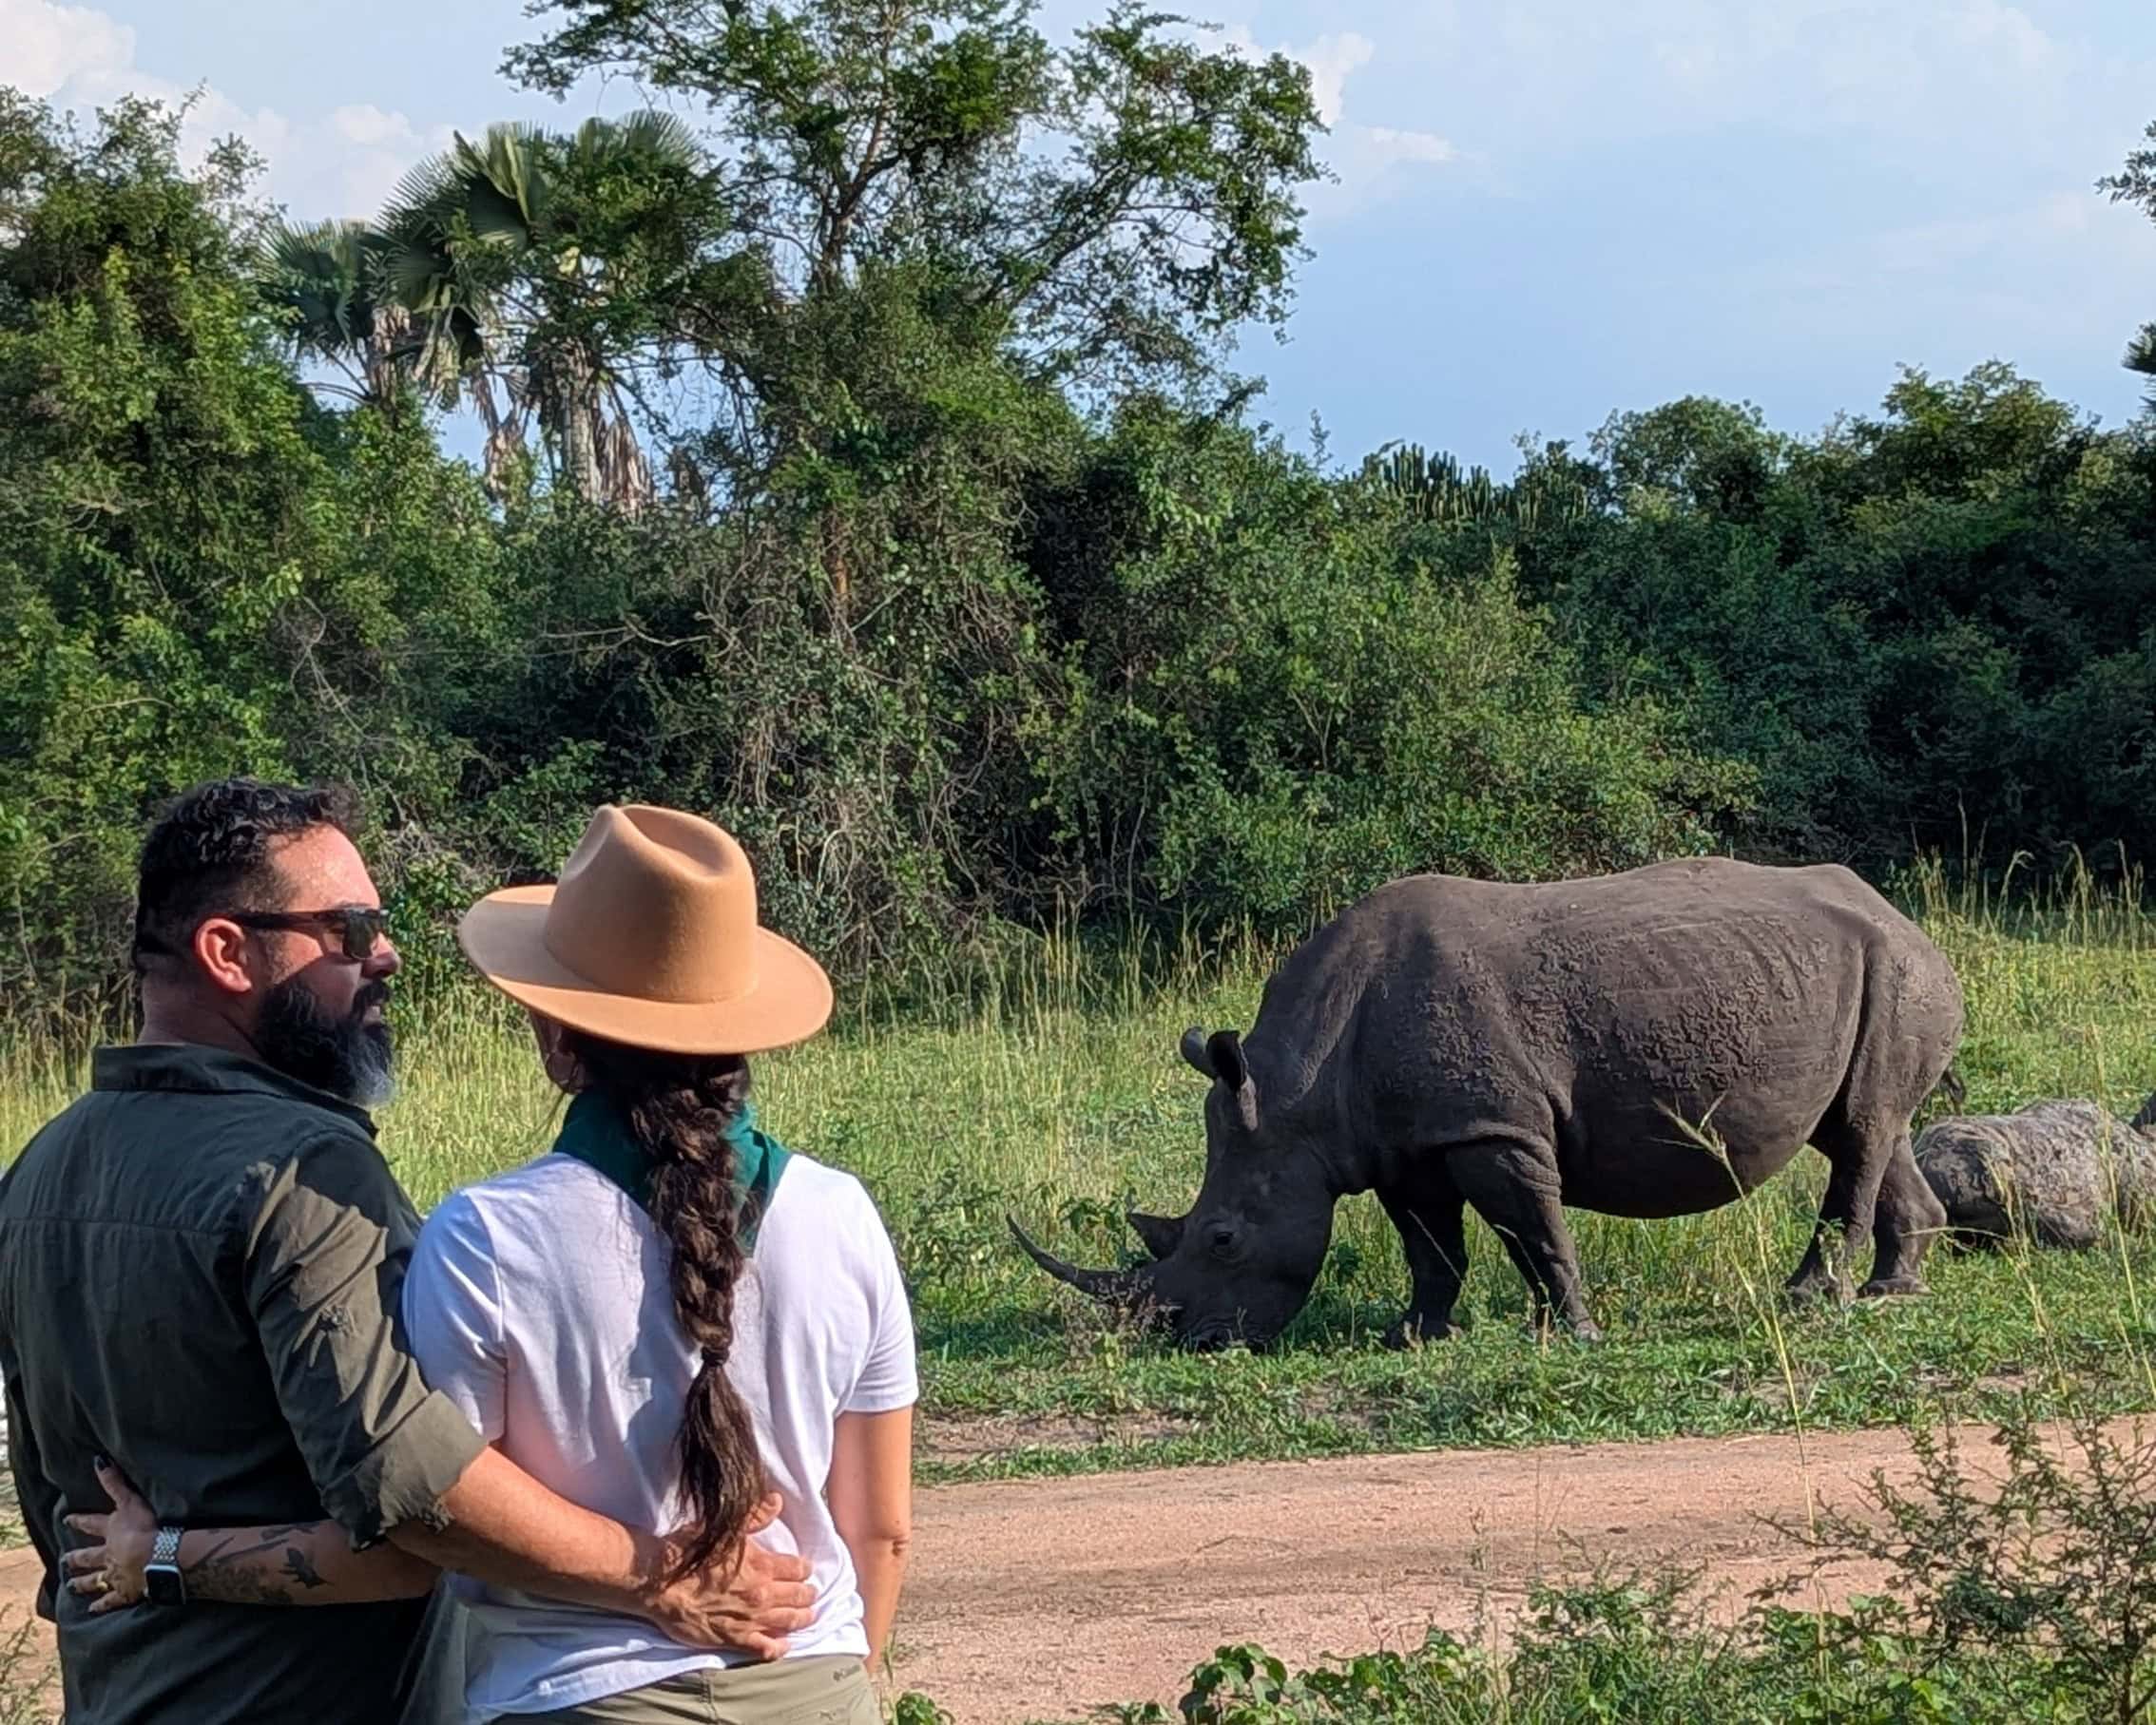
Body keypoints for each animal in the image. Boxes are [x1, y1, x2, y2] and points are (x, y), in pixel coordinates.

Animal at [1013, 857, 1965, 1349]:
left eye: (1221, 1237)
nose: (1185, 1339)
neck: (1296, 1086)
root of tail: (1909, 918)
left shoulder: (1492, 1127)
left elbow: (1534, 1229)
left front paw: (1574, 1333)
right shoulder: (1402, 1145)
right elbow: (1432, 1245)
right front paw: (1415, 1336)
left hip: (1897, 968)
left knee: (1862, 1132)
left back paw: (1811, 1300)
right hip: (1879, 973)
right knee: (1868, 1125)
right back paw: (1894, 1291)